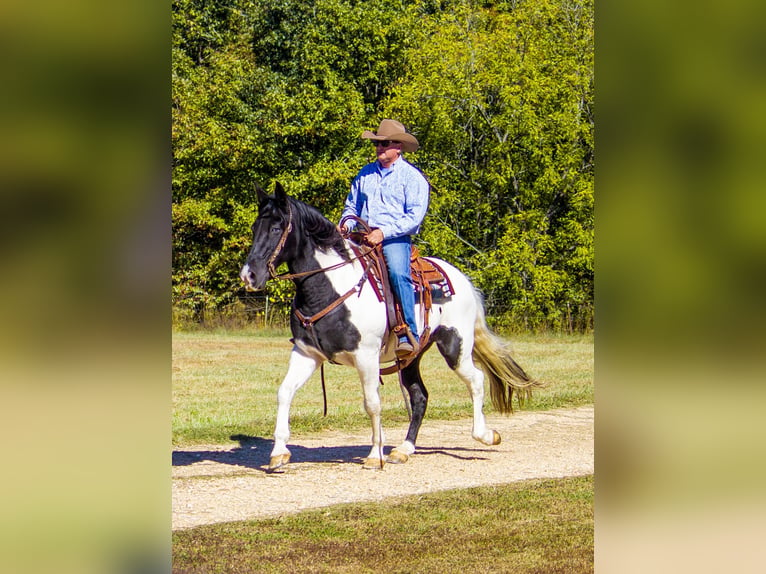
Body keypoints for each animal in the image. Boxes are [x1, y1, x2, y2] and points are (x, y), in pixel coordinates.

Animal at [240, 184, 540, 472]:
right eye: (255, 227)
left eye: (276, 227)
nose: (249, 275)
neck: (331, 287)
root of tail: (461, 279)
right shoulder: (307, 353)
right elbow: (284, 392)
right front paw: (279, 453)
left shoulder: (366, 355)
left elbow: (372, 403)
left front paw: (375, 456)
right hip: (411, 356)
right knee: (419, 396)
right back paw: (403, 449)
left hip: (455, 347)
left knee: (475, 380)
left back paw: (486, 435)